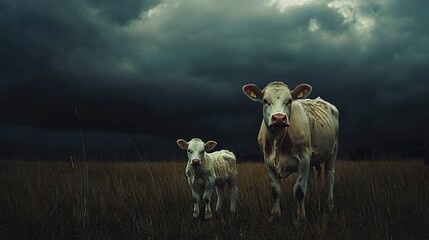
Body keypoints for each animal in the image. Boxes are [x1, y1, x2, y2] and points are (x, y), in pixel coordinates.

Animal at [242, 81, 340, 223]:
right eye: (265, 101)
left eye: (289, 101)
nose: (278, 118)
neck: (278, 140)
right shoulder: (268, 161)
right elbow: (276, 190)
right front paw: (275, 215)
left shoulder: (303, 159)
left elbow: (299, 190)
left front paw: (300, 218)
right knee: (310, 181)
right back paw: (308, 204)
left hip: (334, 149)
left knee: (329, 175)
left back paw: (330, 205)